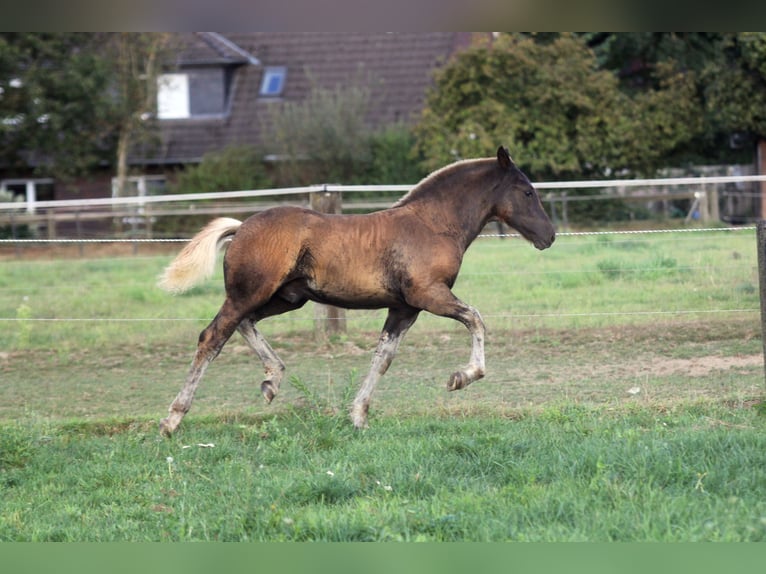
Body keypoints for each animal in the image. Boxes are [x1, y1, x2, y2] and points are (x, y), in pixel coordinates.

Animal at [157, 146, 555, 435]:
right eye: (527, 191)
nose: (549, 236)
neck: (433, 224)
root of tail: (240, 227)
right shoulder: (429, 295)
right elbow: (476, 319)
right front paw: (462, 377)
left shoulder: (404, 309)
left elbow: (383, 358)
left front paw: (358, 416)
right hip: (249, 293)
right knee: (212, 336)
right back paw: (172, 420)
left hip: (284, 299)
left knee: (243, 324)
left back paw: (272, 380)